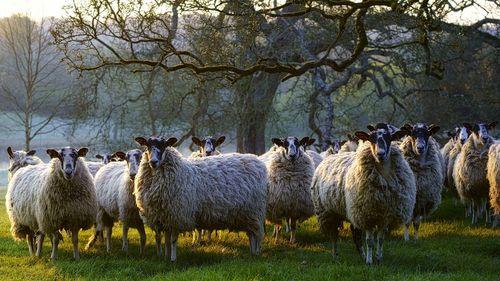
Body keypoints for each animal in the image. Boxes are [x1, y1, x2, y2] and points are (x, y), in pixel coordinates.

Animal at [132, 136, 266, 260]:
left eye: (164, 145)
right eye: (147, 146)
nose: (153, 161)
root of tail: (257, 161)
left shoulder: (177, 215)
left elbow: (173, 240)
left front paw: (173, 259)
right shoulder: (163, 217)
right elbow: (165, 239)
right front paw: (165, 257)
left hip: (254, 211)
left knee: (257, 235)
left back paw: (256, 252)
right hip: (247, 215)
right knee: (251, 234)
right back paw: (252, 252)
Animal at [312, 122, 414, 262]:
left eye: (389, 138)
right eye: (371, 139)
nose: (380, 154)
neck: (383, 177)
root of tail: (332, 156)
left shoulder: (385, 215)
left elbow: (380, 240)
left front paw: (378, 258)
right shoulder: (367, 215)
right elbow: (370, 241)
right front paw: (370, 261)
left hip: (350, 211)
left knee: (355, 233)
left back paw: (362, 254)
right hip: (328, 211)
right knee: (334, 234)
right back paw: (335, 254)